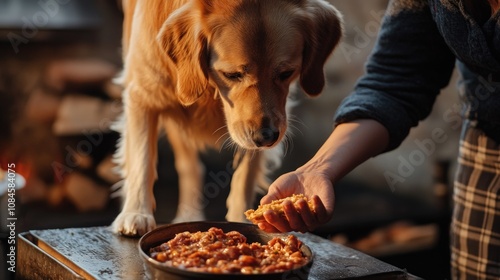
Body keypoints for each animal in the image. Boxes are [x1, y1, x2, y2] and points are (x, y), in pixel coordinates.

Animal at [111, 0, 342, 236]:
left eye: (286, 73)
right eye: (232, 75)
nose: (267, 137)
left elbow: (245, 174)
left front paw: (240, 218)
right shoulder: (142, 93)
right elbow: (142, 159)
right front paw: (136, 213)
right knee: (188, 164)